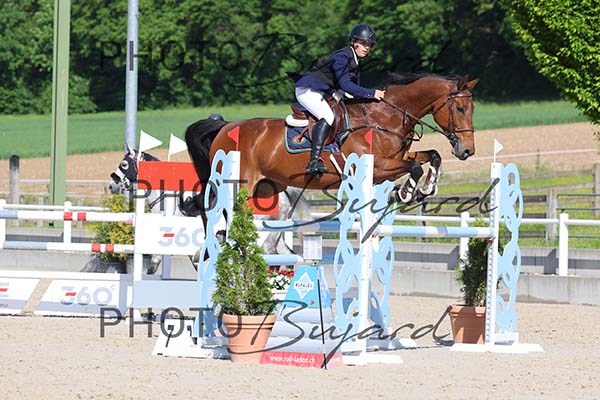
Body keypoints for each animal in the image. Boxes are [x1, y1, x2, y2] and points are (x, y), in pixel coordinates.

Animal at [185, 73, 478, 206]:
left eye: (472, 108)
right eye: (459, 108)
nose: (467, 151)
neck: (385, 117)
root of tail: (225, 127)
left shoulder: (396, 158)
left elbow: (431, 156)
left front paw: (426, 188)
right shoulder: (377, 167)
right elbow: (415, 166)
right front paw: (406, 192)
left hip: (267, 187)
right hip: (238, 185)